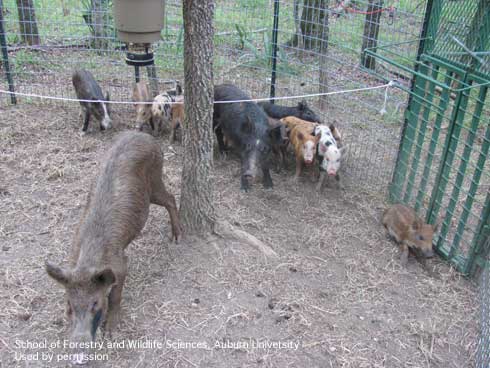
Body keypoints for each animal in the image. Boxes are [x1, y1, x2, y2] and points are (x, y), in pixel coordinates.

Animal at [44, 132, 181, 366]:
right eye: (70, 304)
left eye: (95, 303)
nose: (78, 354)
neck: (88, 263)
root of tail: (144, 135)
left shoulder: (121, 264)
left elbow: (115, 295)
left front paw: (110, 333)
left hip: (155, 180)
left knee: (171, 198)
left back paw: (177, 238)